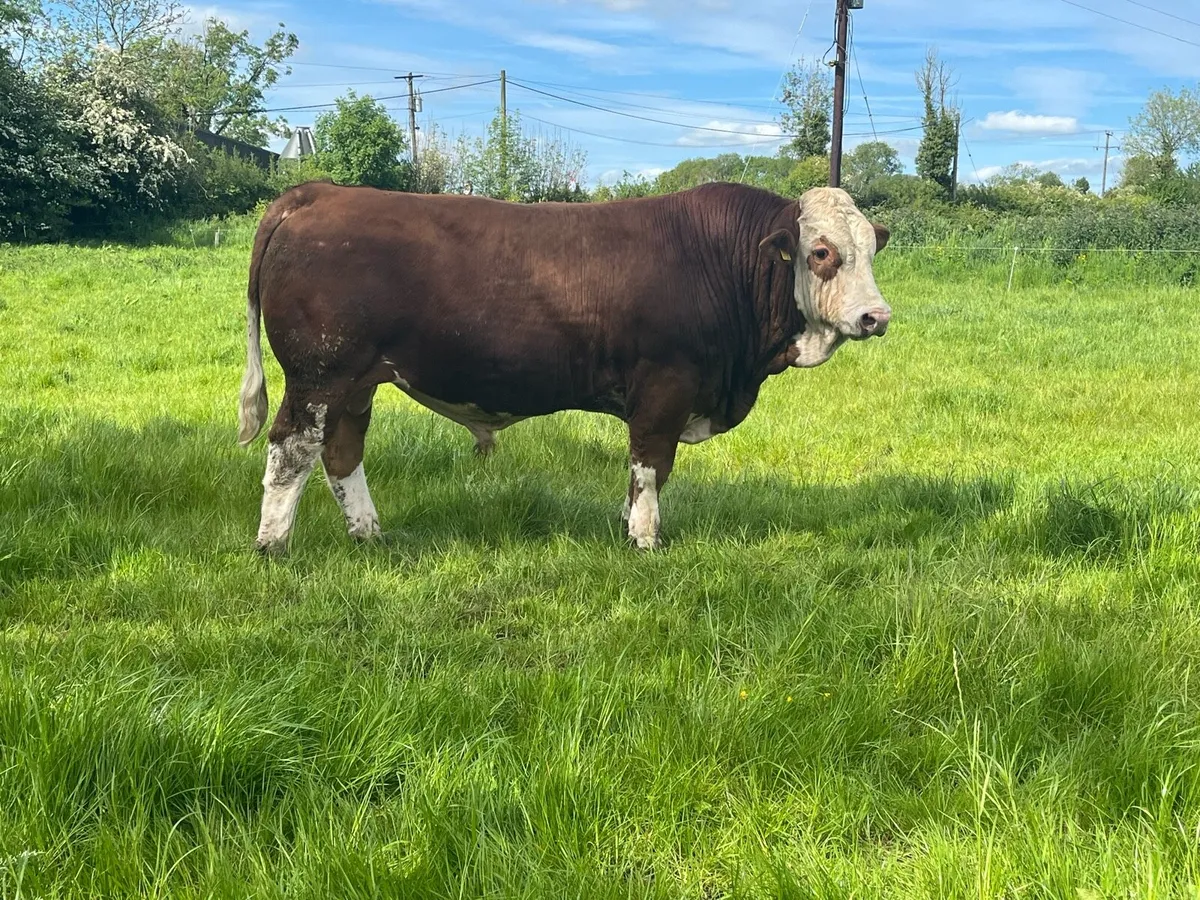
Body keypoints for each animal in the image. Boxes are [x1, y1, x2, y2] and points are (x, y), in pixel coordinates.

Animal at [236, 180, 892, 554]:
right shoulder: (665, 385)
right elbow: (651, 466)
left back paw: (369, 534)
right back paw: (273, 545)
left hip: (357, 382)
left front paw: (628, 525)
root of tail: (319, 191)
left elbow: (642, 474)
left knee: (342, 451)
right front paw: (645, 540)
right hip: (319, 374)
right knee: (292, 448)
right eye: (822, 252)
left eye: (871, 249)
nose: (876, 316)